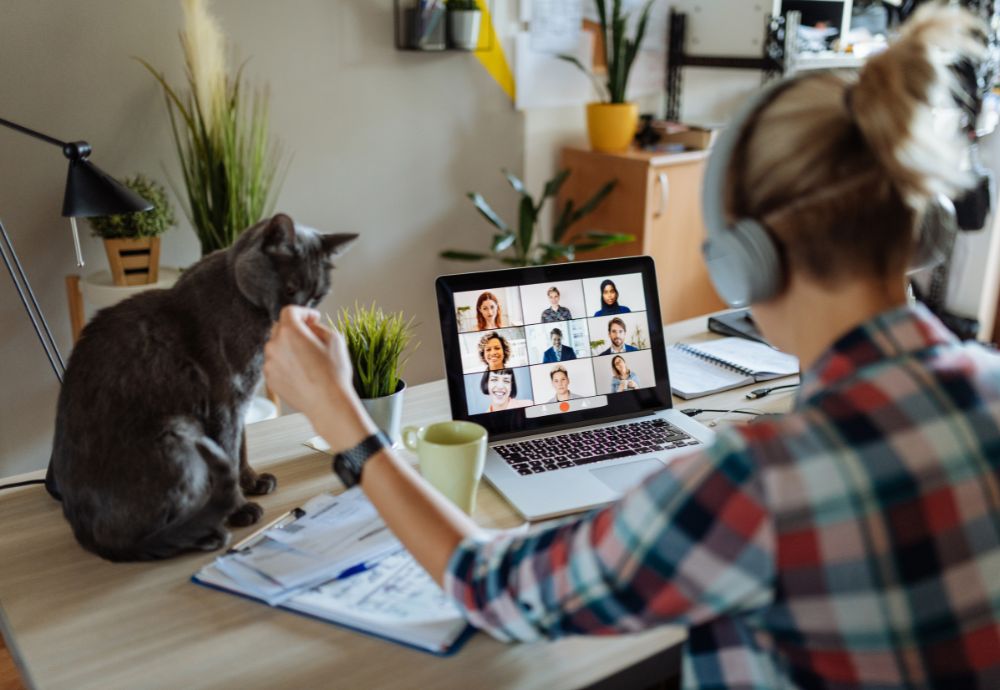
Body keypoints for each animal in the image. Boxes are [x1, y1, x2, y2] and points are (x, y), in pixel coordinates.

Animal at [48, 214, 360, 560]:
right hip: (179, 431)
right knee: (144, 537)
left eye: (317, 295)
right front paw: (240, 509)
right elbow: (228, 452)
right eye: (291, 287)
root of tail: (84, 534)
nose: (304, 313)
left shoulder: (241, 399)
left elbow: (241, 447)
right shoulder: (224, 400)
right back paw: (207, 531)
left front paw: (252, 481)